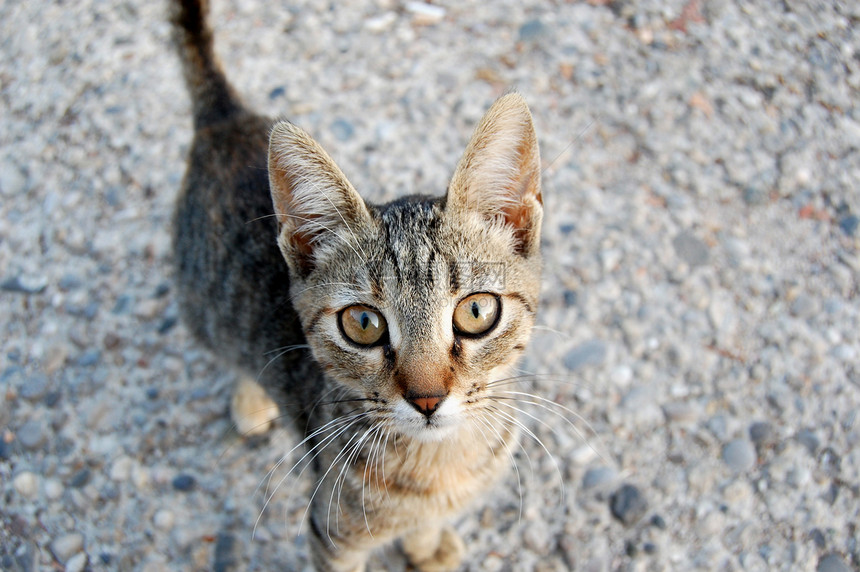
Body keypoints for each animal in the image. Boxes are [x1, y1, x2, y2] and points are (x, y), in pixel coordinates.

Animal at [170, 2, 540, 568]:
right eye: (363, 324)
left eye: (476, 313)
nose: (427, 400)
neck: (442, 464)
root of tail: (225, 118)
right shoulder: (330, 533)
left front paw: (426, 545)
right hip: (199, 306)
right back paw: (250, 401)